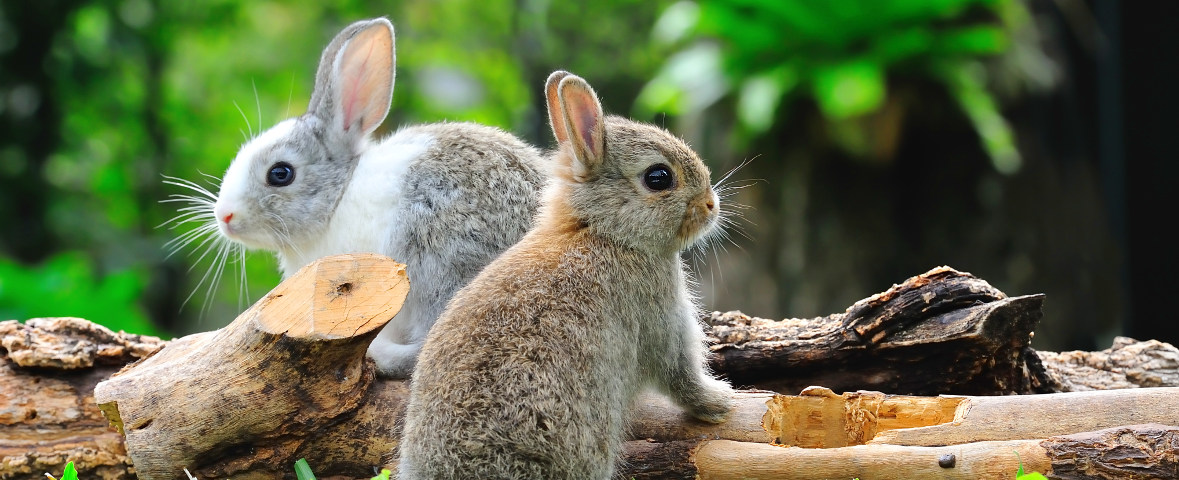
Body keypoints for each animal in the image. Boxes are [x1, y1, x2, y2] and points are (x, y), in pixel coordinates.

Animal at [396, 71, 735, 479]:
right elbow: (680, 374)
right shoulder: (661, 318)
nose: (711, 205)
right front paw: (721, 402)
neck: (602, 232)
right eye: (659, 177)